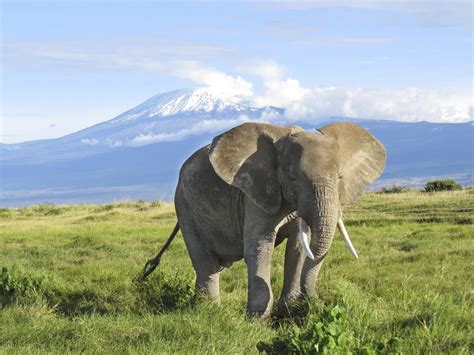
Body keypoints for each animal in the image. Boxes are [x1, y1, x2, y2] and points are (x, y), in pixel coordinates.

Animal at [143, 121, 386, 318]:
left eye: (339, 178)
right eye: (293, 178)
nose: (319, 304)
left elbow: (299, 248)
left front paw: (288, 311)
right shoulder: (254, 191)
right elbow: (260, 246)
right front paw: (258, 320)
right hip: (185, 207)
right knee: (205, 262)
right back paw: (209, 310)